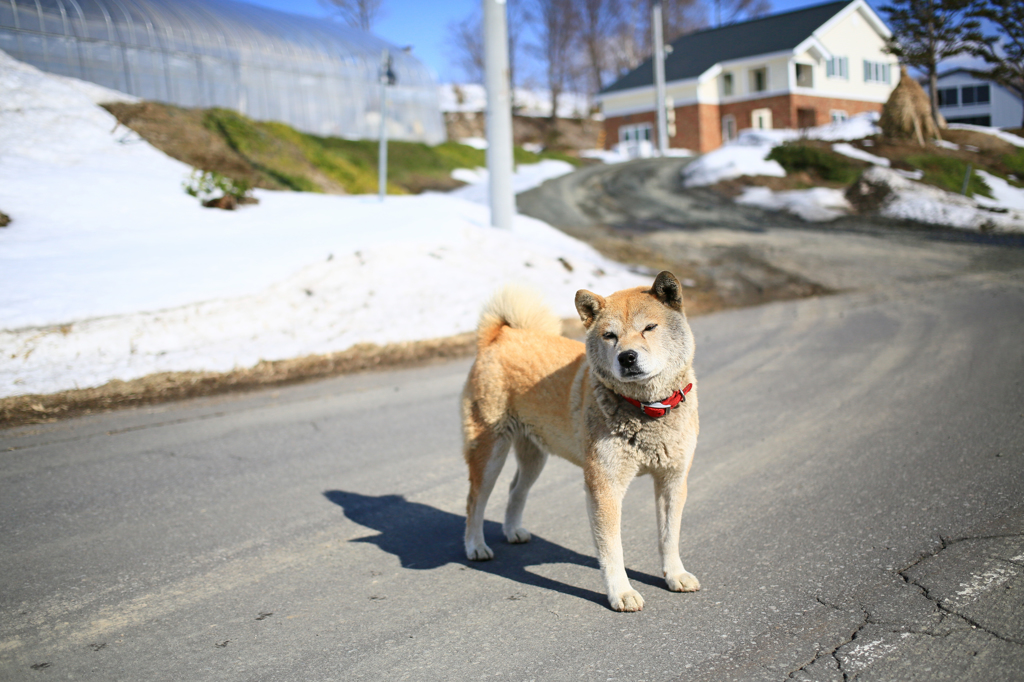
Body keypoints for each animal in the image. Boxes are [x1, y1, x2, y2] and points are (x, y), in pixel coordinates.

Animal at [460, 268, 700, 606]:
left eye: (649, 328)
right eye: (610, 335)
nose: (627, 357)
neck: (646, 408)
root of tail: (501, 335)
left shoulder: (673, 479)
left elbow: (669, 537)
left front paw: (675, 575)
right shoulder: (605, 486)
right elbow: (612, 549)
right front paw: (621, 592)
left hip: (535, 457)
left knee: (516, 490)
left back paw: (513, 530)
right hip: (490, 452)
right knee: (475, 501)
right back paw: (475, 546)